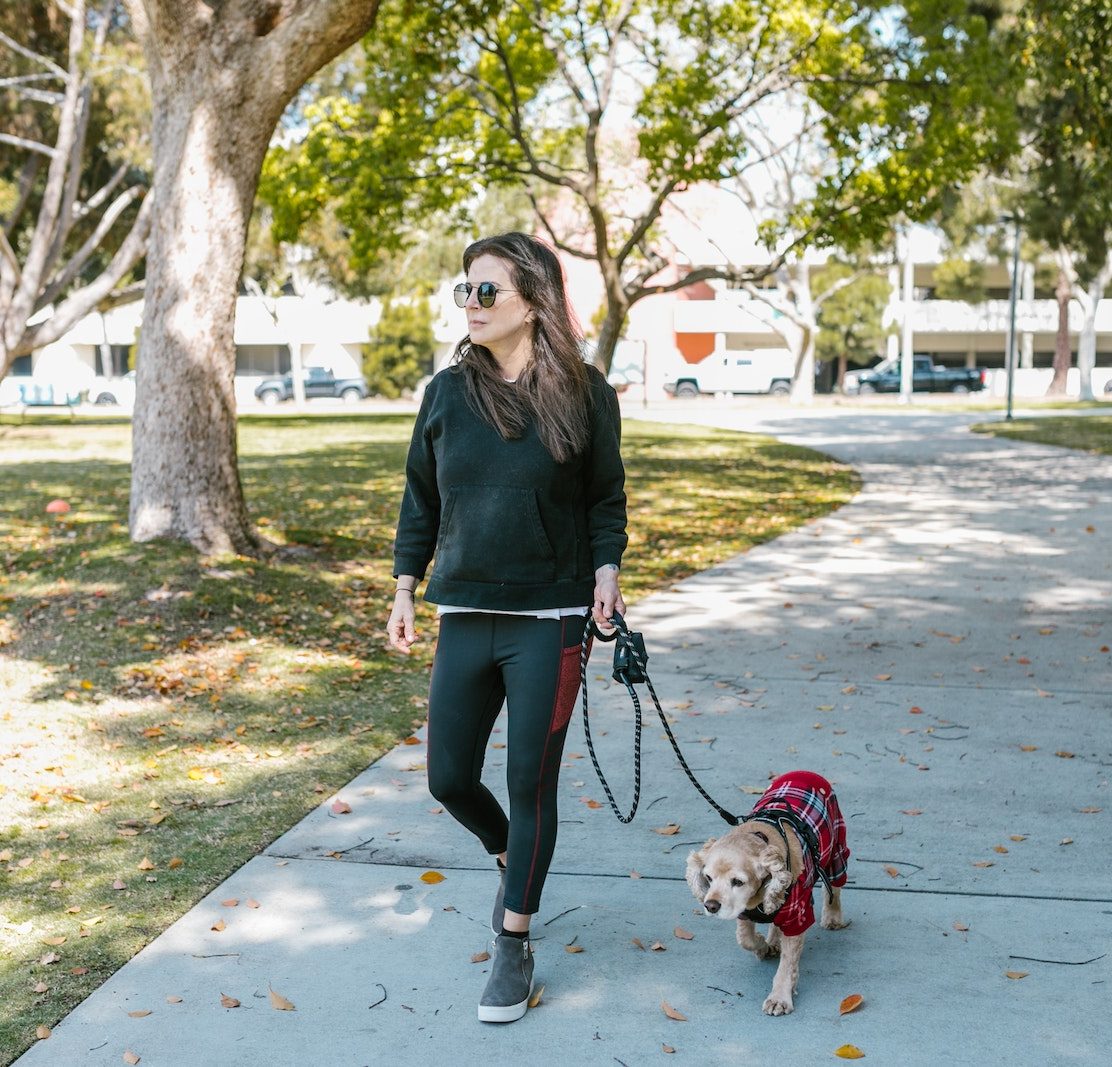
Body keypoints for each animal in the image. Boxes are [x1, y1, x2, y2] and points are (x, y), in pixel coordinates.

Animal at [676, 769, 849, 1013]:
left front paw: (780, 997)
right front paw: (762, 946)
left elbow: (787, 962)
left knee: (834, 886)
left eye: (738, 881)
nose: (710, 906)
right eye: (708, 877)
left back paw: (833, 917)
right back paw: (773, 942)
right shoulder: (744, 912)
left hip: (836, 848)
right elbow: (745, 938)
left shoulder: (797, 914)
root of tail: (805, 772)